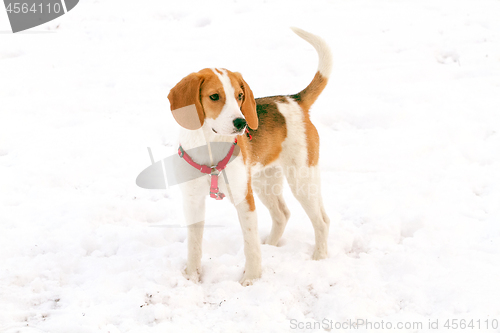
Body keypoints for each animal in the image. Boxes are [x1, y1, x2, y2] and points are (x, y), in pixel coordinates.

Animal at [168, 27, 332, 286]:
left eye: (240, 95)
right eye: (214, 97)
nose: (242, 123)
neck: (211, 148)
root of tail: (294, 100)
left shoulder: (244, 199)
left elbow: (250, 245)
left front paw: (252, 278)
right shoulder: (192, 201)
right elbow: (194, 245)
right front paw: (192, 276)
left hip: (302, 180)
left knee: (322, 221)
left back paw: (319, 257)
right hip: (265, 181)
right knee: (282, 215)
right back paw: (272, 247)